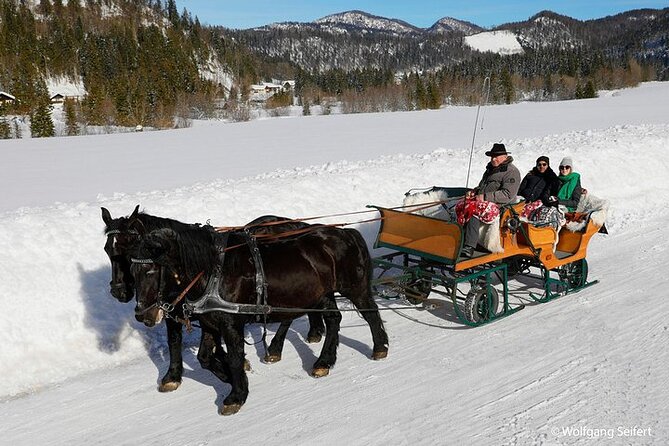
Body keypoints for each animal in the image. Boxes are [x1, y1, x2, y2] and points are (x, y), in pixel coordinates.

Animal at [101, 206, 326, 390]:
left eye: (127, 249)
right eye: (107, 250)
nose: (119, 291)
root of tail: (297, 224)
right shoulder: (174, 311)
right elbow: (175, 340)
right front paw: (172, 376)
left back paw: (276, 348)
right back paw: (313, 330)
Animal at [130, 223, 386, 414]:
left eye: (151, 270)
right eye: (133, 271)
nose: (142, 315)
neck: (213, 272)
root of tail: (348, 233)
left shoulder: (231, 323)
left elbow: (234, 358)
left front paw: (236, 395)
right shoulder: (210, 322)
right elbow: (204, 357)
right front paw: (230, 378)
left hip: (354, 288)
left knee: (371, 314)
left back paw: (380, 347)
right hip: (320, 295)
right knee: (333, 319)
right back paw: (323, 361)